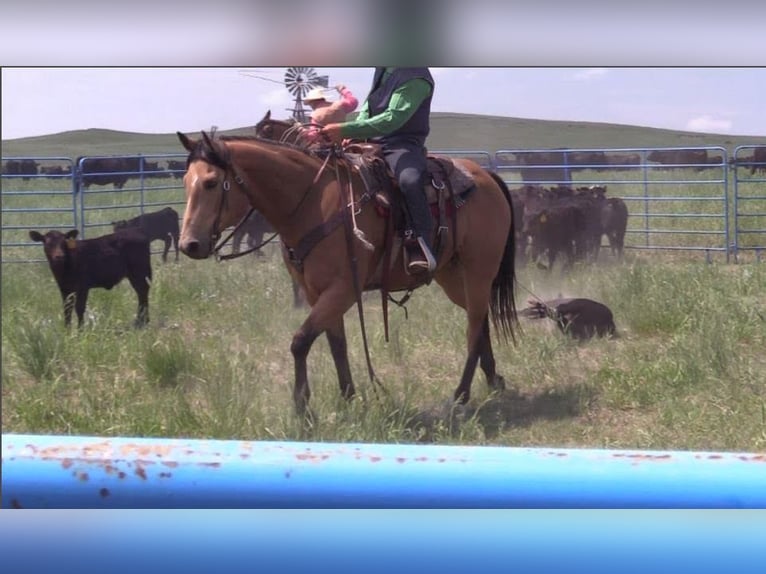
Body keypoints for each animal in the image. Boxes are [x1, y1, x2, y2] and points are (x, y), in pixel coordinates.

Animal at [177, 129, 520, 418]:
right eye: (185, 181)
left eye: (210, 182)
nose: (189, 244)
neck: (312, 203)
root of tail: (486, 176)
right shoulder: (318, 292)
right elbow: (336, 344)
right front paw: (349, 399)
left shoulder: (341, 290)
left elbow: (301, 341)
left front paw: (303, 410)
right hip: (452, 275)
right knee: (480, 319)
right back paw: (493, 379)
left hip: (478, 272)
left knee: (473, 328)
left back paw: (460, 395)